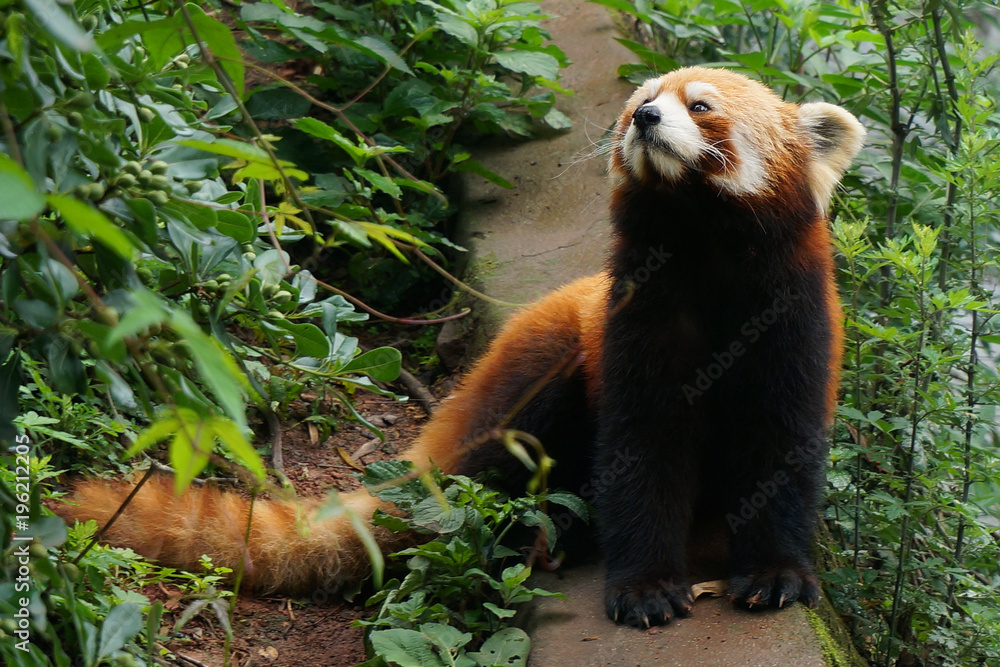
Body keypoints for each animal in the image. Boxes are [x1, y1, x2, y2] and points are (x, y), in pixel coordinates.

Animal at [58, 68, 864, 632]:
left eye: (699, 106)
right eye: (640, 98)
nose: (643, 117)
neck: (705, 254)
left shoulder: (795, 327)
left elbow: (783, 450)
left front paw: (777, 574)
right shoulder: (635, 326)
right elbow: (642, 453)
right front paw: (645, 588)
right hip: (539, 366)